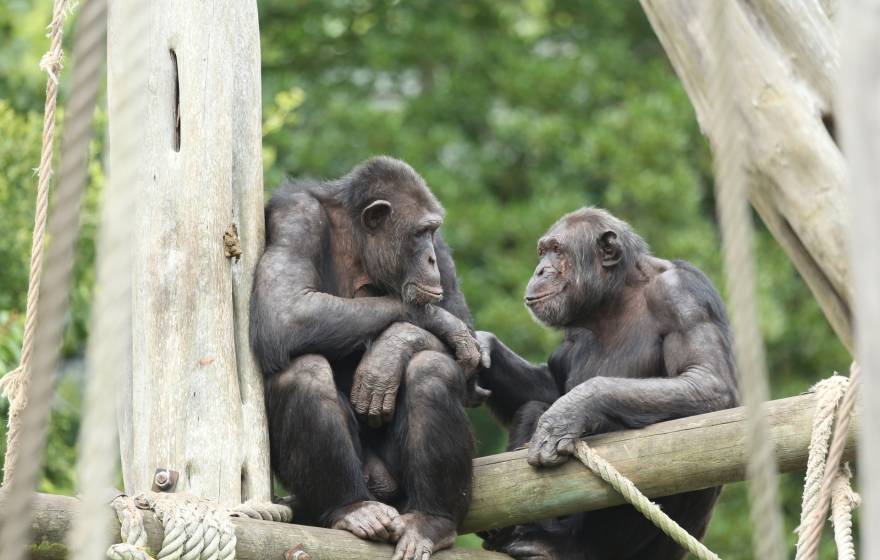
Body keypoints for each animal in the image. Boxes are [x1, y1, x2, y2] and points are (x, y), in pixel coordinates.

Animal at [248, 156, 484, 560]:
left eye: (431, 231)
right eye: (419, 232)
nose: (430, 258)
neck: (359, 244)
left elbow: (469, 349)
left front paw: (393, 348)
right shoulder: (295, 218)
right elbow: (285, 311)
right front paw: (438, 322)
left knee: (432, 371)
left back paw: (430, 521)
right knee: (304, 371)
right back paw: (352, 508)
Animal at [478, 209, 740, 560]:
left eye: (558, 251)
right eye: (542, 251)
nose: (541, 269)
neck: (614, 299)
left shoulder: (682, 295)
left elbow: (707, 379)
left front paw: (570, 412)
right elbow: (548, 387)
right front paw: (483, 348)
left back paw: (566, 547)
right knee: (532, 406)